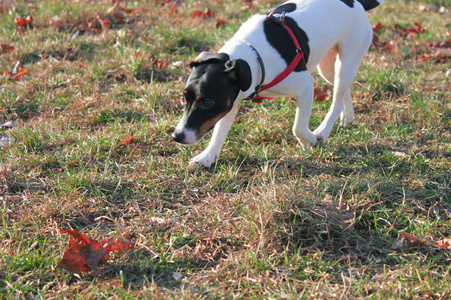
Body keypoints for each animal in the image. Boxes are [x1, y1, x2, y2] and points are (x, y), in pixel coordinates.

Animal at [173, 0, 384, 168]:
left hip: (346, 61)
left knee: (337, 99)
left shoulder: (306, 87)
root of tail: (356, 3)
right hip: (329, 69)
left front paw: (310, 140)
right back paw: (348, 117)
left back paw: (323, 131)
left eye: (207, 102)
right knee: (344, 92)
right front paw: (207, 157)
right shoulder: (231, 102)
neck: (254, 56)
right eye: (183, 98)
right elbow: (219, 132)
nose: (176, 136)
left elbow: (298, 127)